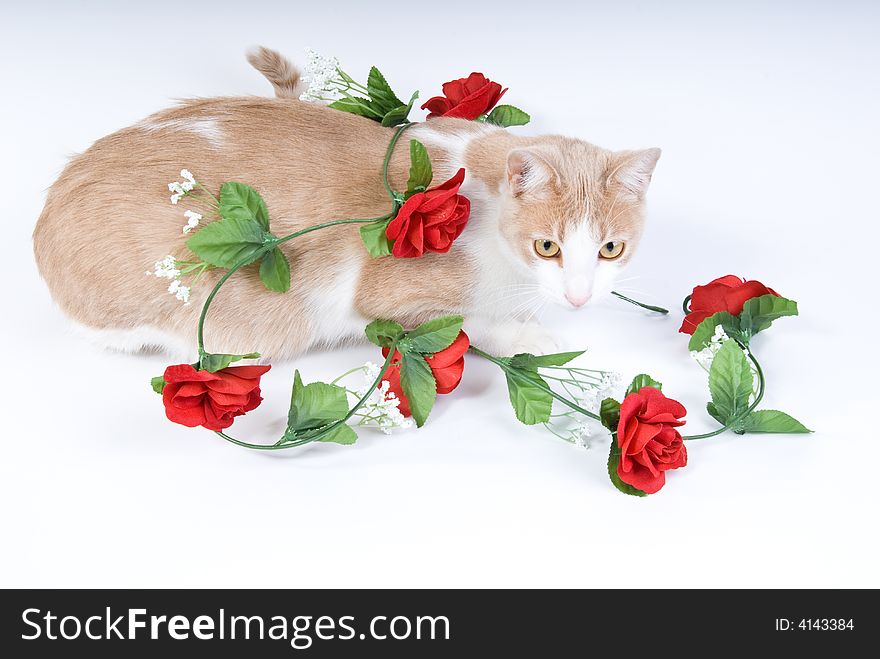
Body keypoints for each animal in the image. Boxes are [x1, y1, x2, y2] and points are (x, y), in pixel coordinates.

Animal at [31, 49, 656, 364]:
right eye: (547, 246)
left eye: (610, 249)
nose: (579, 296)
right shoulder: (380, 295)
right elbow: (466, 323)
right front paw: (526, 336)